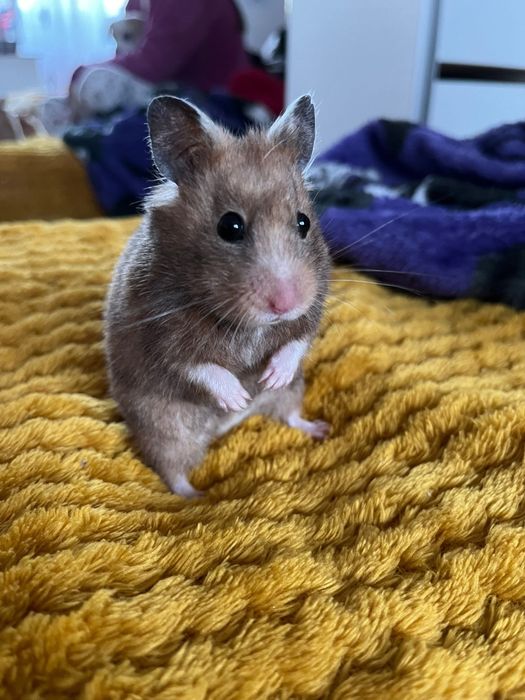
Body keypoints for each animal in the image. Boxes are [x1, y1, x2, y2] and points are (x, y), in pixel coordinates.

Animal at [104, 94, 331, 497]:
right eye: (230, 226)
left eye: (303, 222)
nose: (284, 304)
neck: (249, 324)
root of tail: (224, 429)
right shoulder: (161, 332)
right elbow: (199, 365)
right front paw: (237, 394)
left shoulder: (313, 305)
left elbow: (297, 340)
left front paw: (271, 376)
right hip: (164, 429)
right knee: (172, 470)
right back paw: (200, 496)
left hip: (295, 391)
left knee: (289, 414)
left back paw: (317, 428)